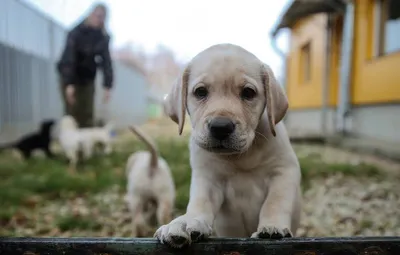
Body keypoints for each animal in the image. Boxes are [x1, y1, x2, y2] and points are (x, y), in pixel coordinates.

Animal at [155, 43, 302, 247]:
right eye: (200, 92)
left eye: (248, 93)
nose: (220, 127)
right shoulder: (208, 179)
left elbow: (275, 202)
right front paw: (186, 222)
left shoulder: (284, 171)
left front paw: (273, 227)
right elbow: (200, 203)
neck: (240, 156)